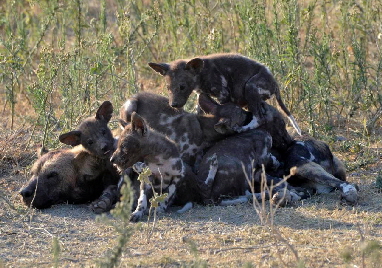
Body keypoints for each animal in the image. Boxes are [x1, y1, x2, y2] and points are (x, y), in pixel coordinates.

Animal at [149, 52, 302, 135]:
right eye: (168, 88)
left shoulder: (223, 94)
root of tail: (275, 83)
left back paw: (244, 128)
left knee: (259, 118)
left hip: (251, 87)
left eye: (182, 87)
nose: (174, 105)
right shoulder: (201, 95)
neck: (200, 75)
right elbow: (200, 110)